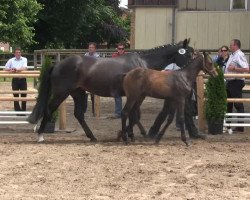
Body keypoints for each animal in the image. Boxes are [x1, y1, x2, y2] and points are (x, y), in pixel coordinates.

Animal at [28, 39, 194, 142]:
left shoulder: (136, 96)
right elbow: (134, 115)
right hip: (61, 93)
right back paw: (41, 136)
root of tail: (57, 65)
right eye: (189, 53)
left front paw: (131, 134)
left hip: (77, 93)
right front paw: (129, 134)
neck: (143, 64)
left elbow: (134, 115)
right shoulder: (137, 95)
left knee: (79, 115)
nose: (193, 68)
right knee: (49, 110)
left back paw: (92, 136)